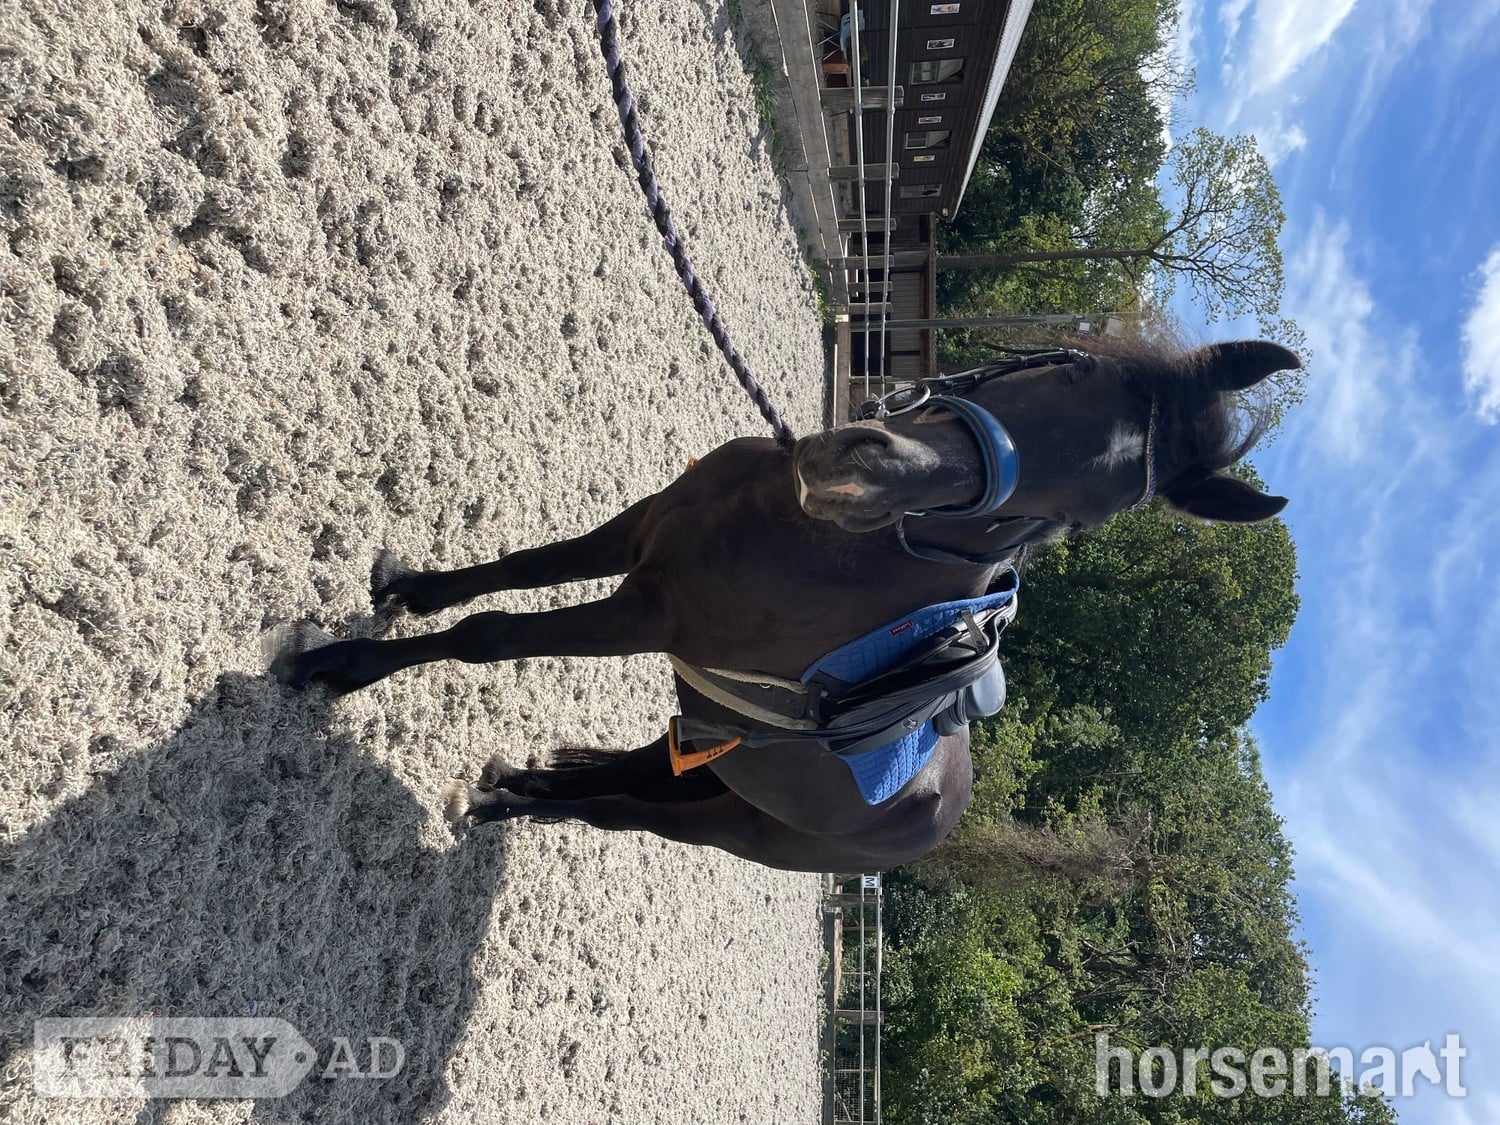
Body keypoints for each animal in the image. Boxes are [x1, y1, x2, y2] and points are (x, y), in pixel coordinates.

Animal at [274, 339, 1299, 872]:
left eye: (1070, 522)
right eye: (1075, 367)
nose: (859, 474)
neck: (797, 535)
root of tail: (937, 817)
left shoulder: (645, 615)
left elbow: (488, 635)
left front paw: (339, 667)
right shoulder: (639, 533)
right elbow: (518, 568)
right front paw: (408, 588)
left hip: (731, 823)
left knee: (622, 809)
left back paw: (510, 805)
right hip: (725, 746)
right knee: (651, 763)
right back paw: (529, 778)